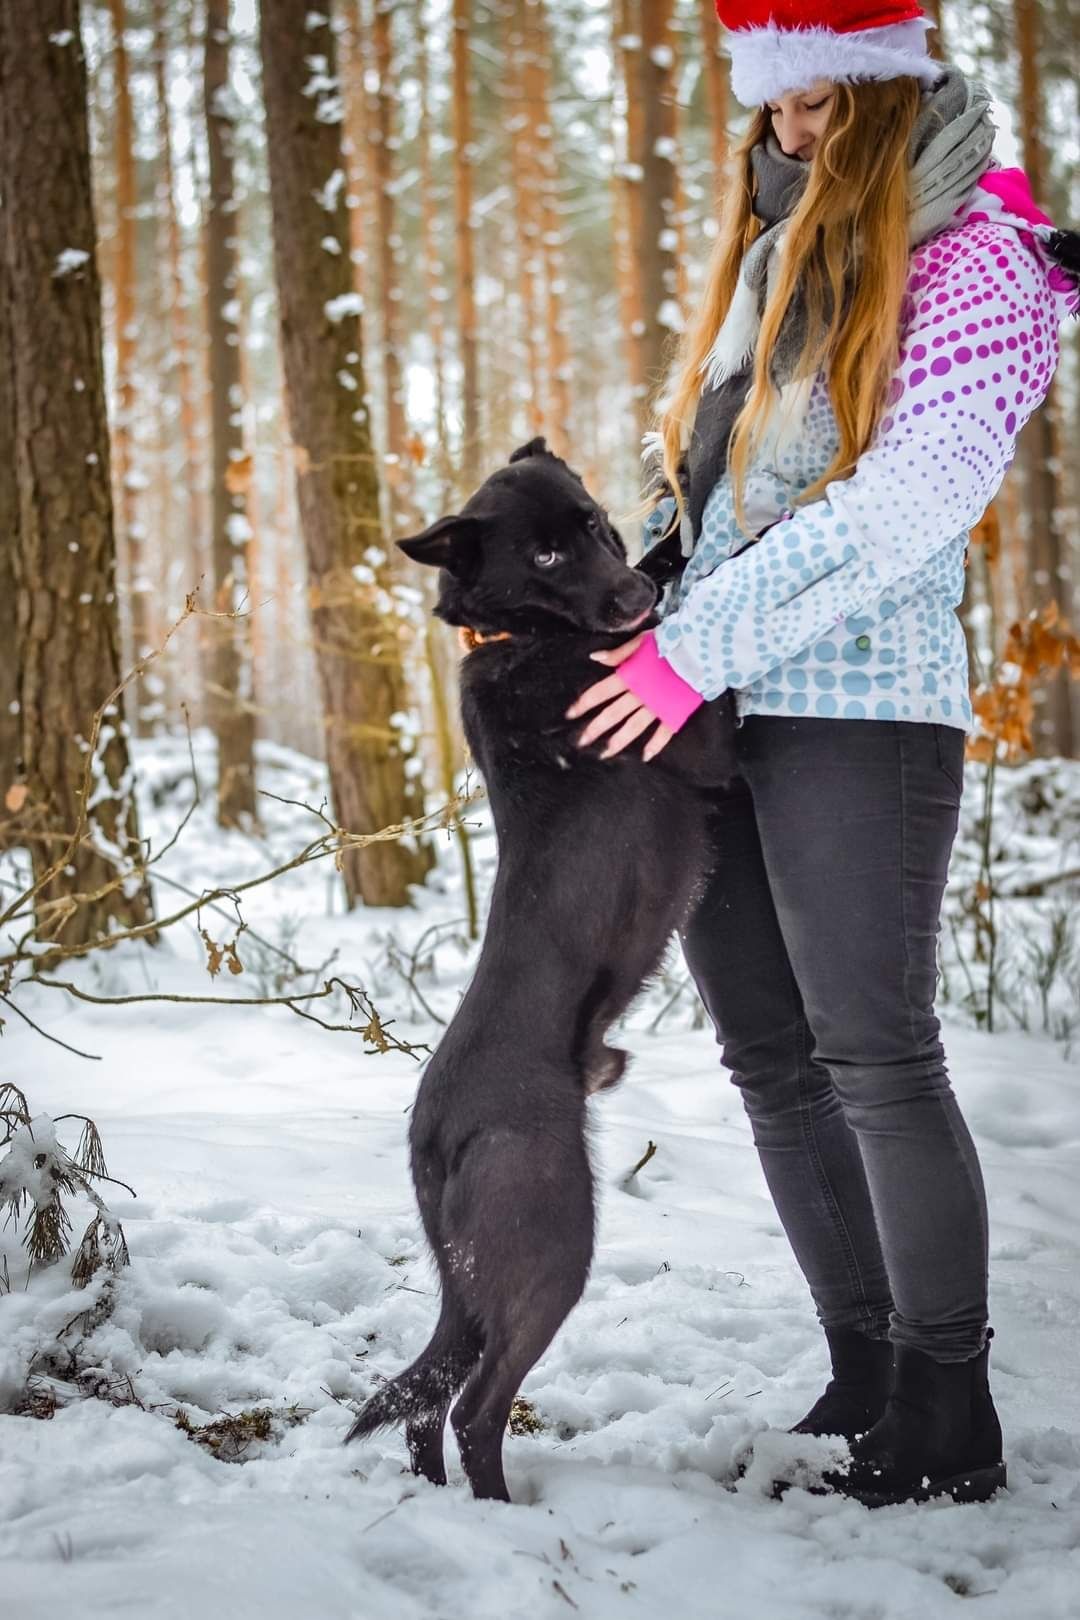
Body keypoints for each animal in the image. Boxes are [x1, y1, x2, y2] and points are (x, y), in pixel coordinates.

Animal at [346, 437, 735, 1496]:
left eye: (596, 526)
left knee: (426, 1397)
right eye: (549, 557)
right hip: (552, 1246)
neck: (522, 638)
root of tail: (435, 1134)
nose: (631, 596)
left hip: (471, 1277)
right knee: (476, 1403)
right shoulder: (709, 741)